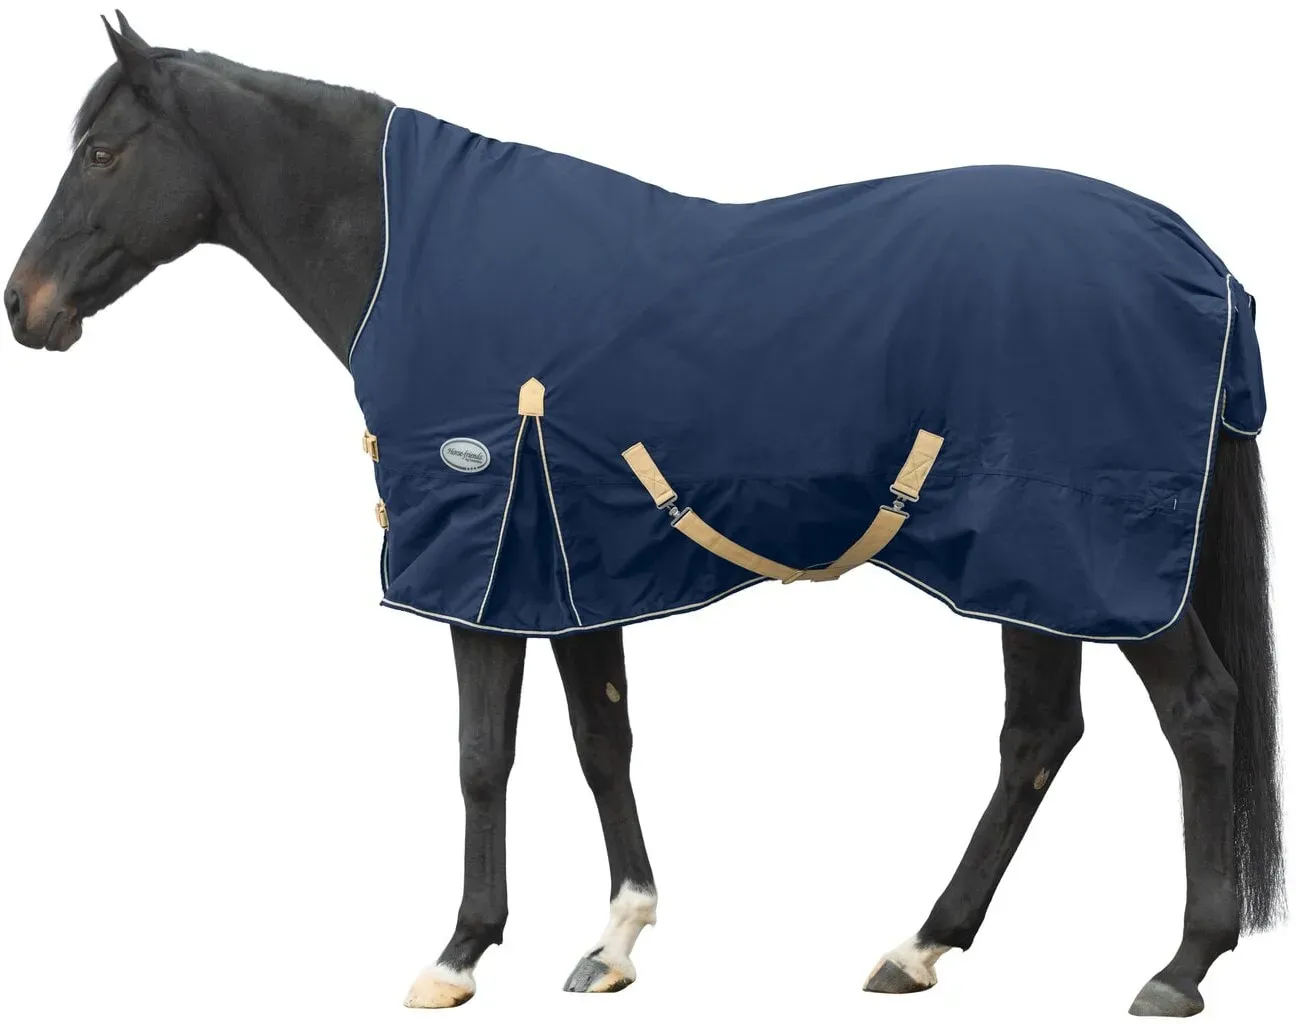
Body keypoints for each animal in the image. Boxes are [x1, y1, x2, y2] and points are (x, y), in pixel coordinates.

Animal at [6, 14, 1284, 1016]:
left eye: (105, 151)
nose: (26, 307)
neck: (419, 257)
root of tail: (1195, 259)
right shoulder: (571, 570)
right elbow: (600, 741)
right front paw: (615, 939)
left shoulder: (481, 569)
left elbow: (482, 756)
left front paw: (459, 954)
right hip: (1027, 568)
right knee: (1037, 736)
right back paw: (920, 947)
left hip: (1090, 561)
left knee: (1196, 713)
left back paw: (1178, 966)